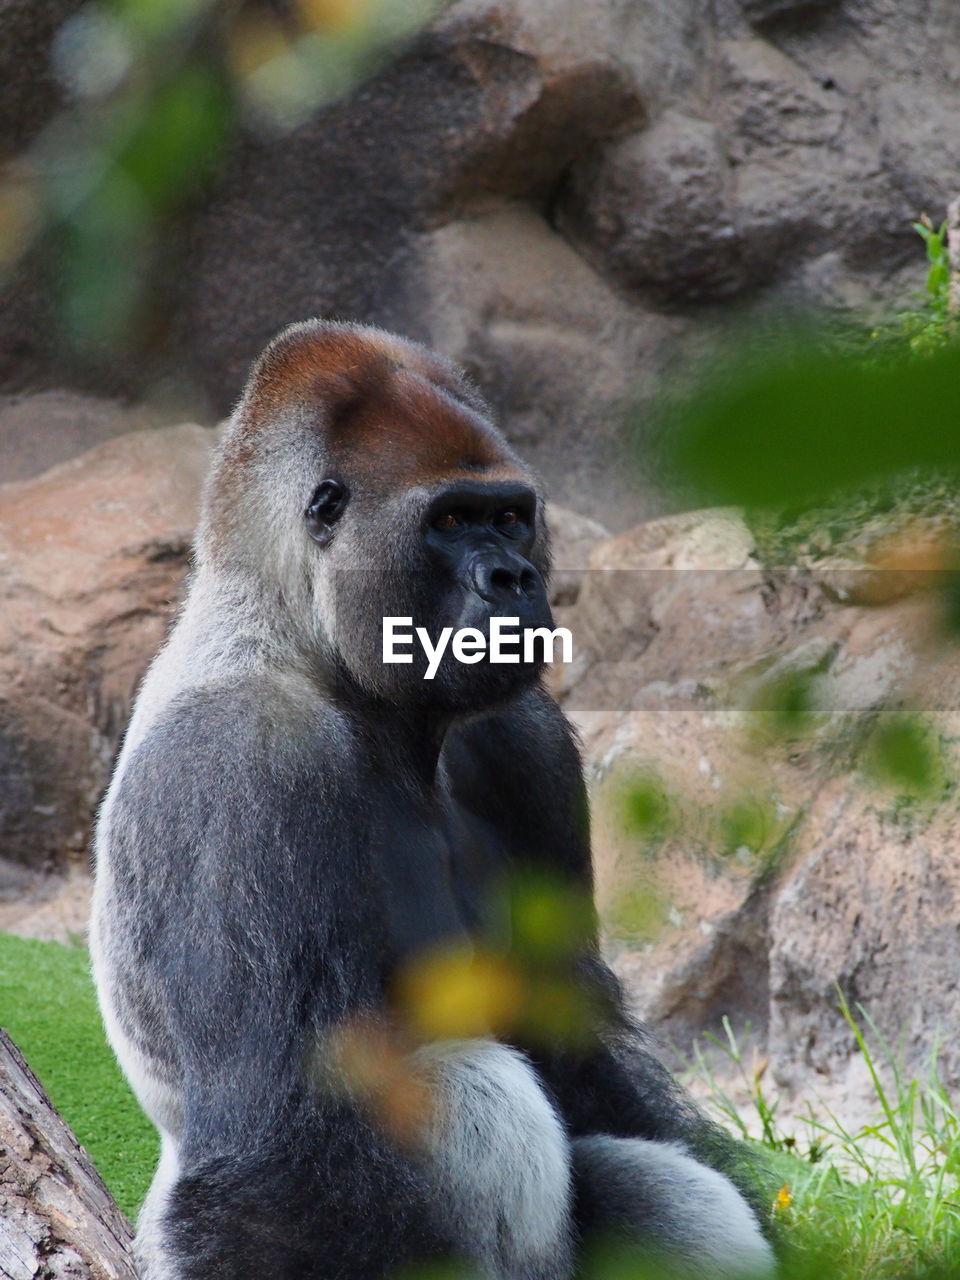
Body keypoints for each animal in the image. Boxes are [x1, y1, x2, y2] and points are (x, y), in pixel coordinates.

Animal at [92, 320, 783, 1280]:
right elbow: (275, 1148)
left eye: (510, 516)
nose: (515, 579)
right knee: (476, 1097)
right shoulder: (239, 762)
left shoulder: (526, 741)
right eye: (450, 522)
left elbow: (579, 1048)